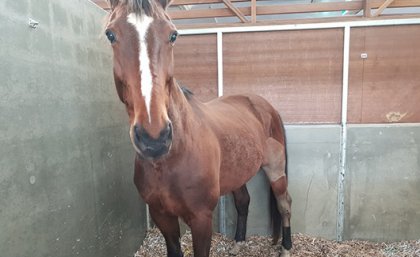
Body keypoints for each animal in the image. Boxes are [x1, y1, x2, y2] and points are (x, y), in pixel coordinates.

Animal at [104, 1, 292, 255]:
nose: (154, 138)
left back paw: (286, 247)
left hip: (275, 170)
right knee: (243, 201)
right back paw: (238, 242)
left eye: (173, 35)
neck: (172, 158)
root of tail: (265, 105)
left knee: (284, 204)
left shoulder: (201, 218)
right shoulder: (161, 215)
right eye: (110, 34)